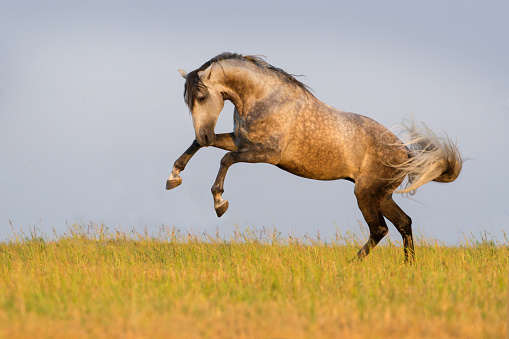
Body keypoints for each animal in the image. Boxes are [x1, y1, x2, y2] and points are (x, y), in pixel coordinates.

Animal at [166, 51, 460, 262]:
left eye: (201, 95)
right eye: (187, 100)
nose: (205, 132)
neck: (264, 99)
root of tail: (405, 152)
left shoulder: (267, 153)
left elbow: (225, 160)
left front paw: (220, 203)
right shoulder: (240, 142)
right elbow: (199, 147)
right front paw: (173, 177)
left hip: (366, 193)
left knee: (380, 229)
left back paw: (350, 266)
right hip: (381, 194)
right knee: (403, 224)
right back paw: (408, 268)